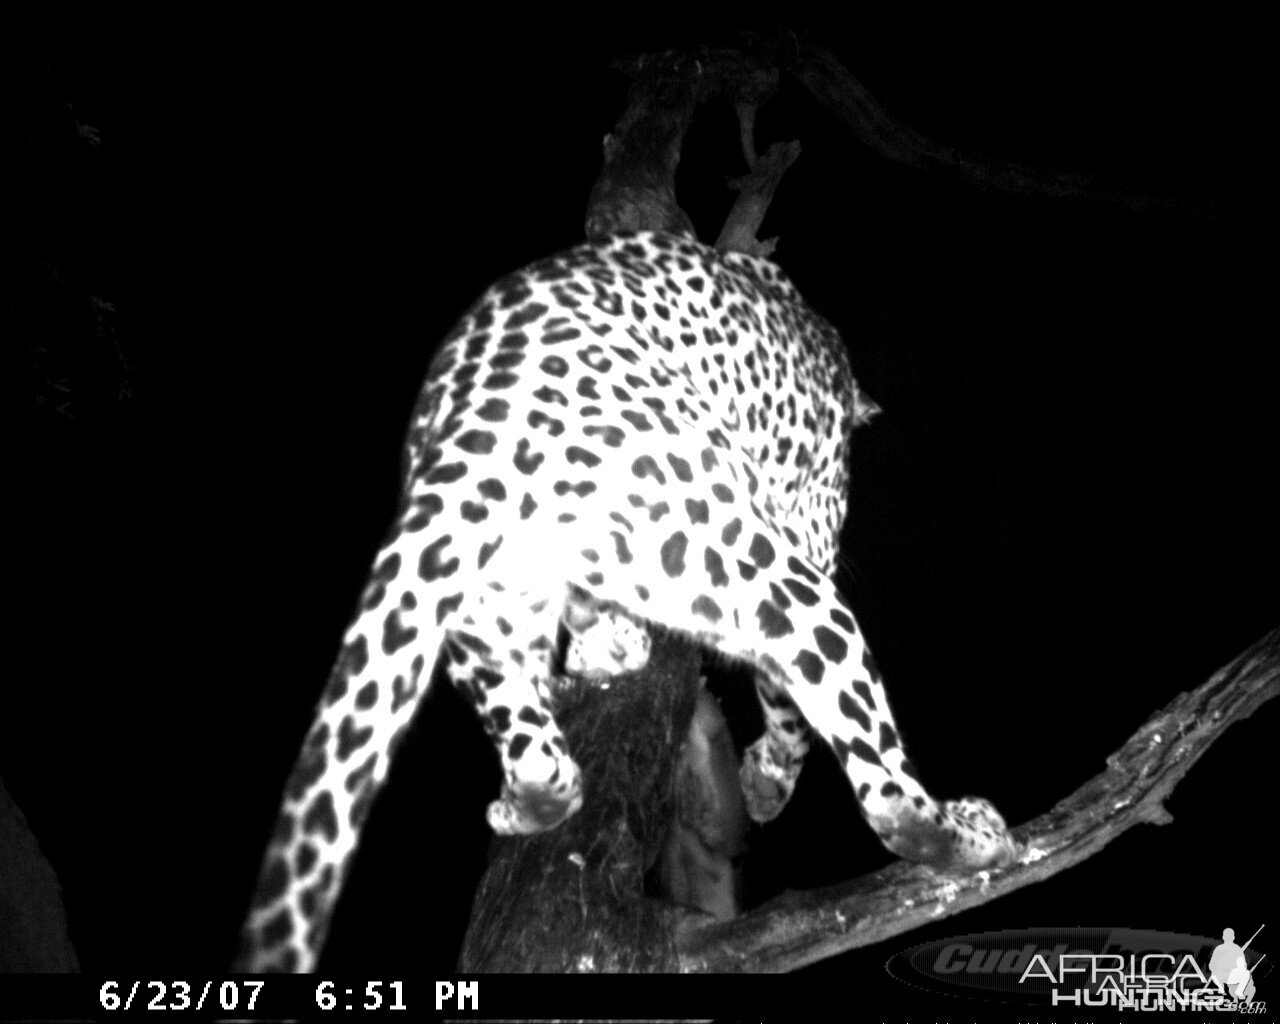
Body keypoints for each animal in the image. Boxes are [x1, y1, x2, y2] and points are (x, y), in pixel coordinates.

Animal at [232, 227, 1018, 972]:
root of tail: (480, 424)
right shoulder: (806, 522)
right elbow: (787, 707)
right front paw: (764, 783)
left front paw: (612, 646)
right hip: (761, 568)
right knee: (886, 792)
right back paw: (973, 835)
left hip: (480, 602)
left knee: (542, 761)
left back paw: (529, 784)